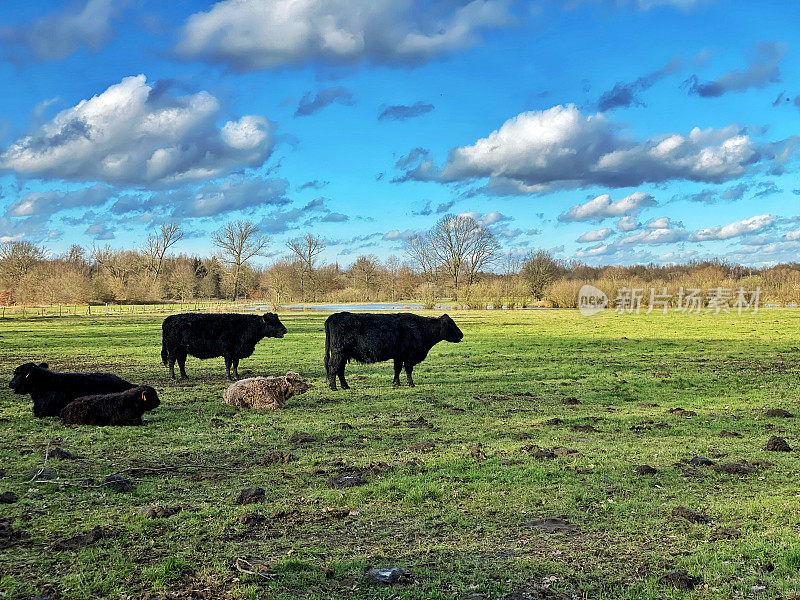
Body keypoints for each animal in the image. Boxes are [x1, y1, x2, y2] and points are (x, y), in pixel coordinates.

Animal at [160, 314, 288, 380]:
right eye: (272, 322)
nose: (285, 330)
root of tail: (168, 319)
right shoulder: (228, 351)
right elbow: (228, 365)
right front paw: (229, 377)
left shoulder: (236, 352)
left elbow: (235, 365)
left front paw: (237, 376)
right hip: (173, 349)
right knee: (172, 361)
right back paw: (172, 377)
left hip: (182, 350)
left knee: (181, 362)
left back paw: (185, 376)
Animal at [324, 312, 462, 392]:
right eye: (452, 324)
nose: (462, 334)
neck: (420, 328)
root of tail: (333, 317)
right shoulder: (408, 356)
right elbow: (408, 370)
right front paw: (411, 384)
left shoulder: (398, 356)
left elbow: (397, 369)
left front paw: (396, 383)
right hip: (338, 353)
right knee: (333, 367)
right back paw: (333, 387)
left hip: (343, 354)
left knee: (340, 369)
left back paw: (345, 386)